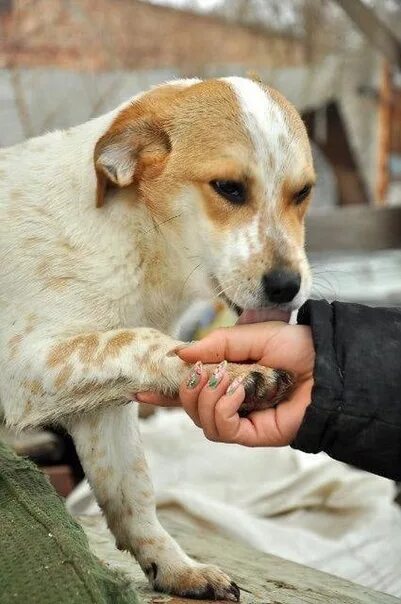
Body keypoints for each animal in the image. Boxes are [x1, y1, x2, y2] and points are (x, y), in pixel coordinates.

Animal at [0, 78, 312, 600]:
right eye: (229, 188)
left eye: (303, 192)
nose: (288, 287)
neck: (132, 239)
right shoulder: (23, 367)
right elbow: (143, 340)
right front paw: (238, 369)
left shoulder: (95, 406)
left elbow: (131, 489)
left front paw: (174, 567)